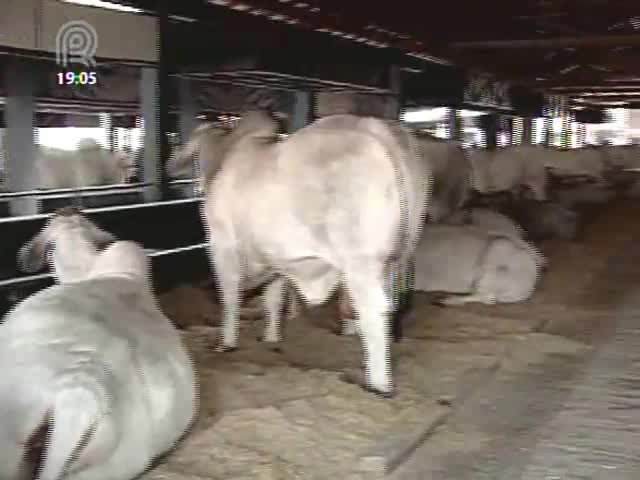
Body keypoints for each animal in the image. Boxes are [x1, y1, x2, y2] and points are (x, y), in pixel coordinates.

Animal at [204, 109, 430, 398]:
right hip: (397, 256)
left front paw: (227, 342)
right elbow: (273, 298)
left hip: (362, 261)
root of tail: (376, 126)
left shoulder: (222, 244)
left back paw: (379, 382)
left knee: (374, 309)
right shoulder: (277, 259)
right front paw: (271, 337)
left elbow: (230, 296)